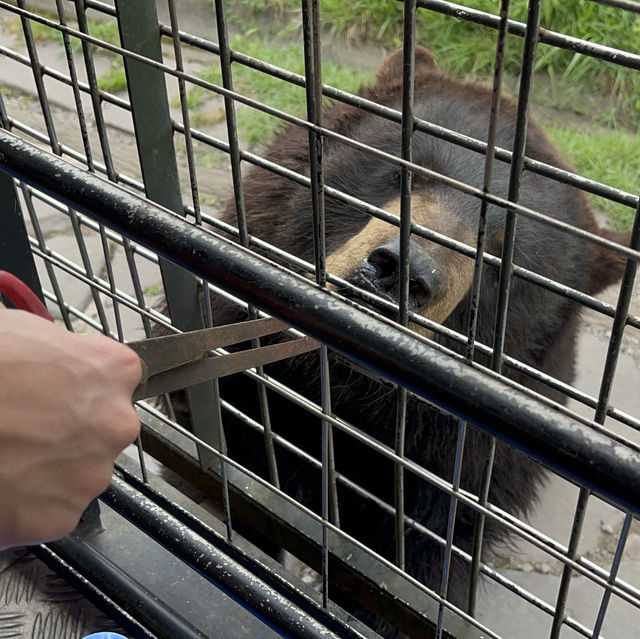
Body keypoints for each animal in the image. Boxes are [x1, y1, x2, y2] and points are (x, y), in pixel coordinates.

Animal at [171, 47, 632, 636]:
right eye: (404, 174)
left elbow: (413, 578)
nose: (401, 272)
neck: (349, 393)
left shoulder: (453, 477)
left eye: (499, 254)